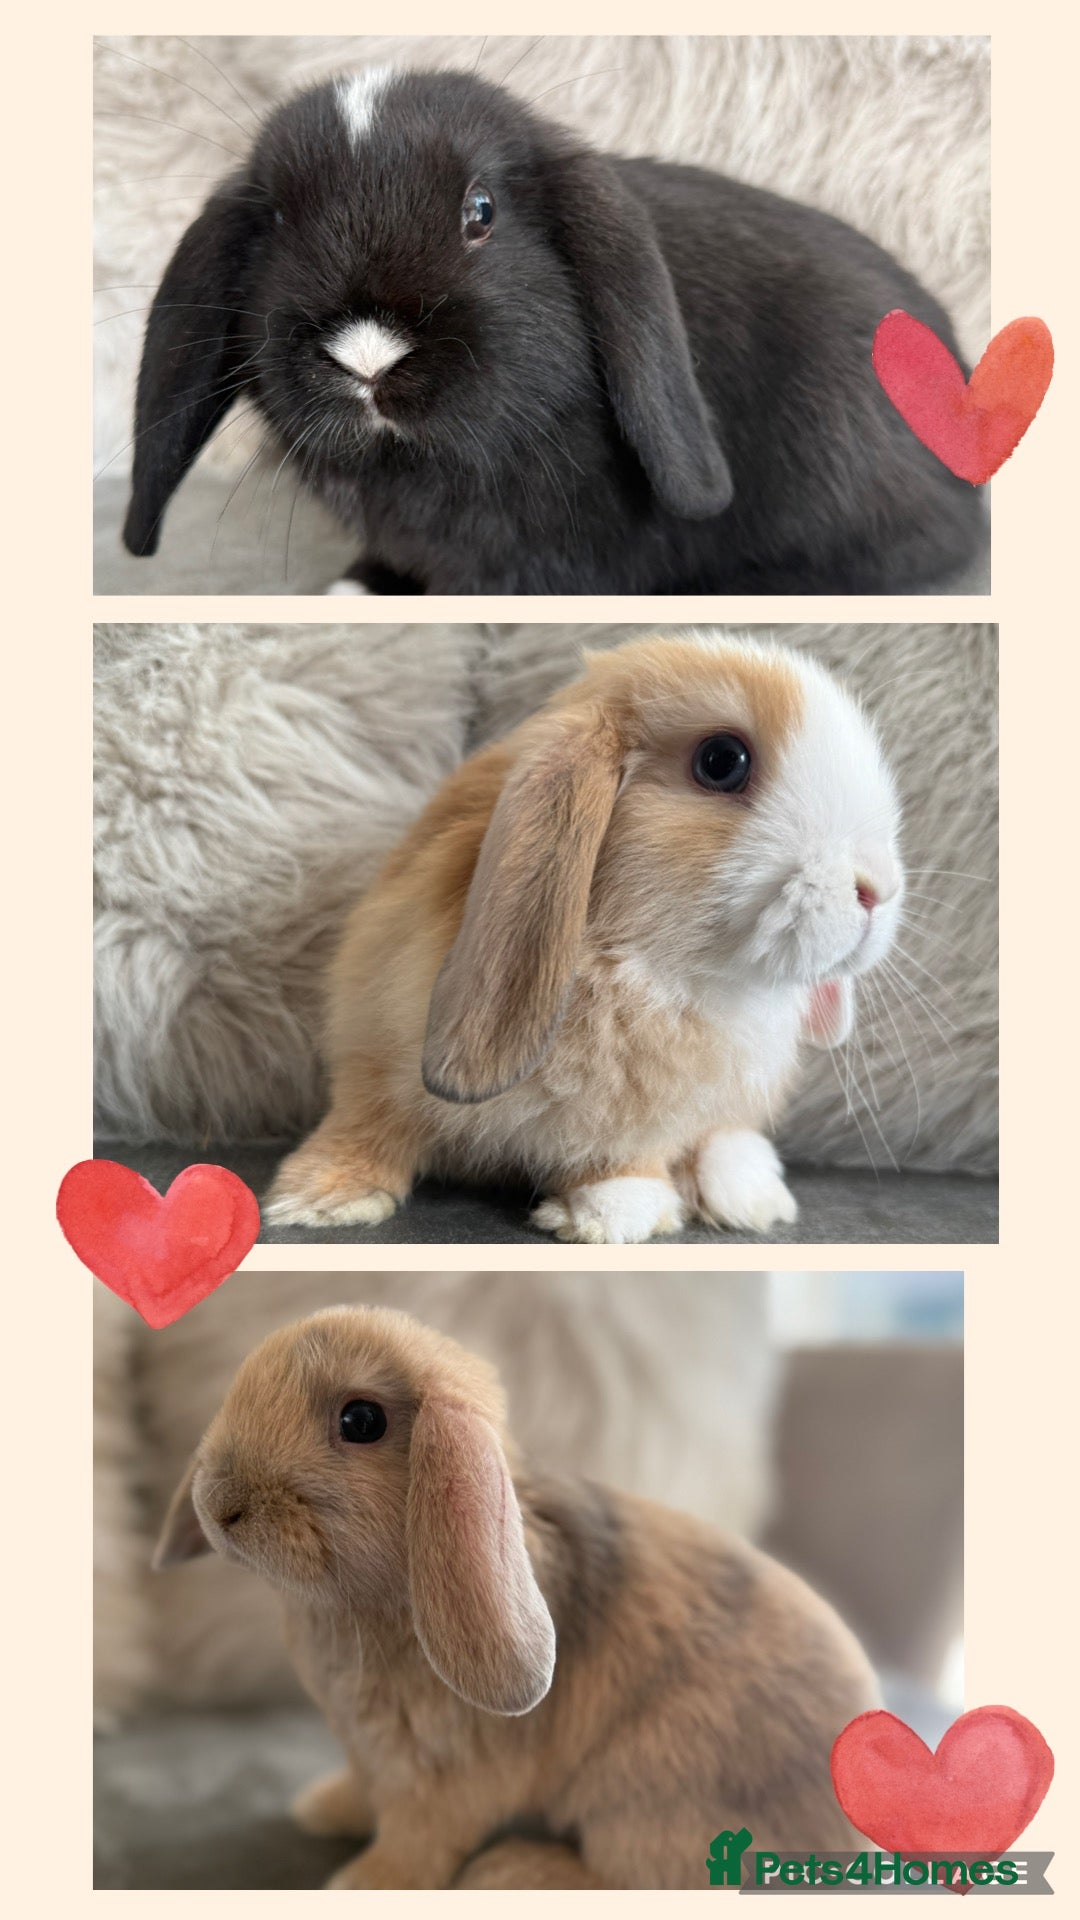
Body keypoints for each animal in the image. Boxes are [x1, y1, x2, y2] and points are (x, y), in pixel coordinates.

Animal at [154, 1305, 878, 1889]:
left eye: (361, 1420)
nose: (218, 1504)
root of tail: (846, 1837)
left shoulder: (445, 1781)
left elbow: (418, 1841)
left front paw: (364, 1884)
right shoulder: (368, 1754)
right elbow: (364, 1791)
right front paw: (324, 1810)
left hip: (643, 1796)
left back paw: (512, 1871)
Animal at [263, 632, 904, 1244]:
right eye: (722, 761)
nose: (878, 889)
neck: (644, 968)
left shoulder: (647, 1110)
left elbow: (626, 1150)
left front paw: (612, 1213)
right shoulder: (374, 1041)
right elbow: (369, 1119)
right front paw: (320, 1200)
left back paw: (749, 1195)